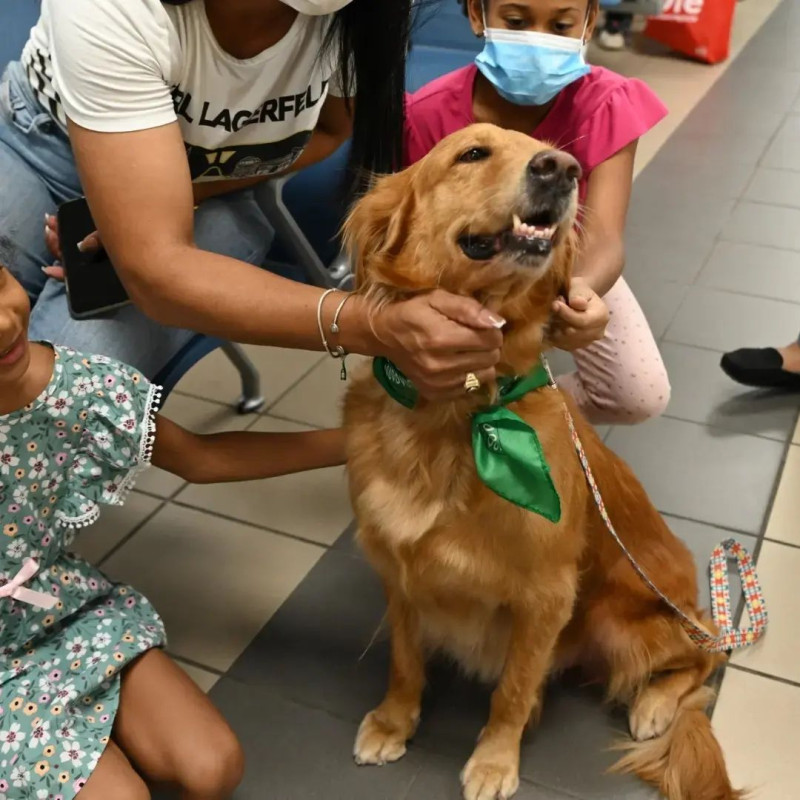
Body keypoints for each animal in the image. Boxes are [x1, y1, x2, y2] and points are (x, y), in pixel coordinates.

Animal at [340, 123, 740, 800]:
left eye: (547, 149)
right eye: (472, 153)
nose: (562, 169)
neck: (459, 413)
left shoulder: (546, 597)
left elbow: (513, 687)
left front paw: (495, 760)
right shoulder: (399, 571)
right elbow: (404, 660)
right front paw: (394, 722)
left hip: (619, 618)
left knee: (706, 656)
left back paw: (655, 705)